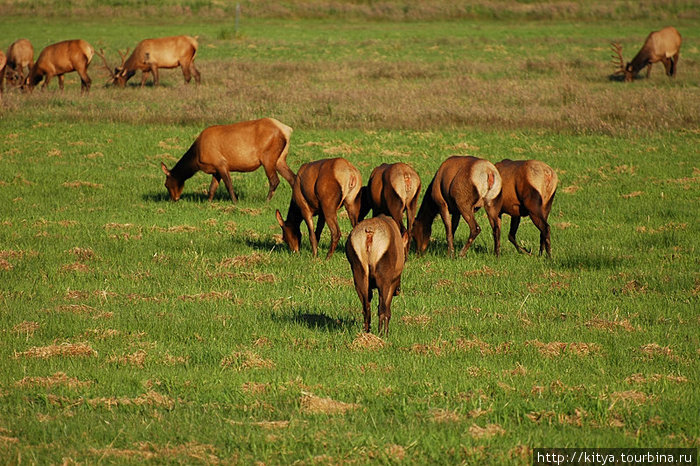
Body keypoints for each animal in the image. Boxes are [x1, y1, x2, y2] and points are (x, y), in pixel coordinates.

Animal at [160, 116, 294, 202]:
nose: (173, 199)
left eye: (166, 184)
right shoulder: (215, 170)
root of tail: (287, 130)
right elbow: (212, 189)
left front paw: (235, 202)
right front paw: (208, 203)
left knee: (274, 180)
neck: (196, 158)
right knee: (292, 178)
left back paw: (266, 202)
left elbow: (229, 185)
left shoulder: (221, 163)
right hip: (280, 158)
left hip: (268, 156)